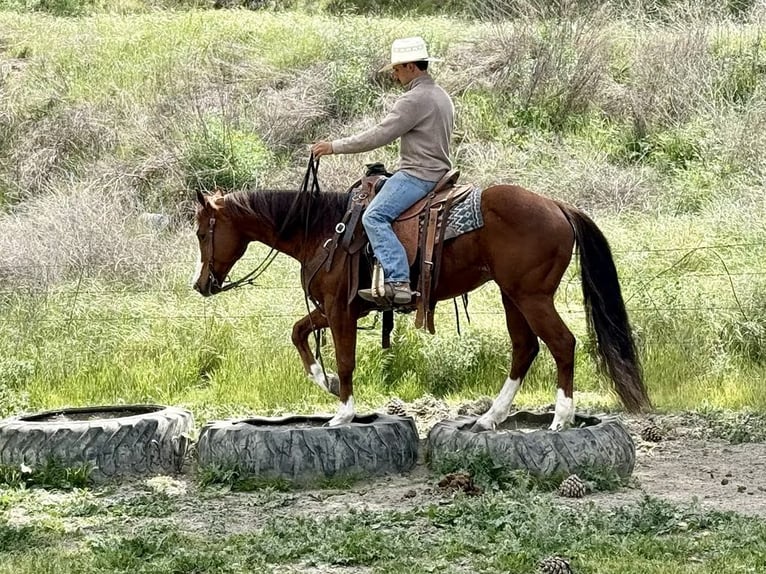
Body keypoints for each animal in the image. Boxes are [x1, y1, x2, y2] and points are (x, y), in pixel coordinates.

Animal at [192, 179, 651, 431]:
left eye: (201, 231)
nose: (201, 284)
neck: (323, 229)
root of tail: (558, 205)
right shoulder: (336, 308)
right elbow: (299, 332)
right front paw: (324, 381)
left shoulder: (340, 310)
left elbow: (345, 359)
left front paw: (343, 411)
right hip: (512, 296)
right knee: (525, 349)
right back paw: (490, 417)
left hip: (531, 296)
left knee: (562, 344)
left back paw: (560, 419)